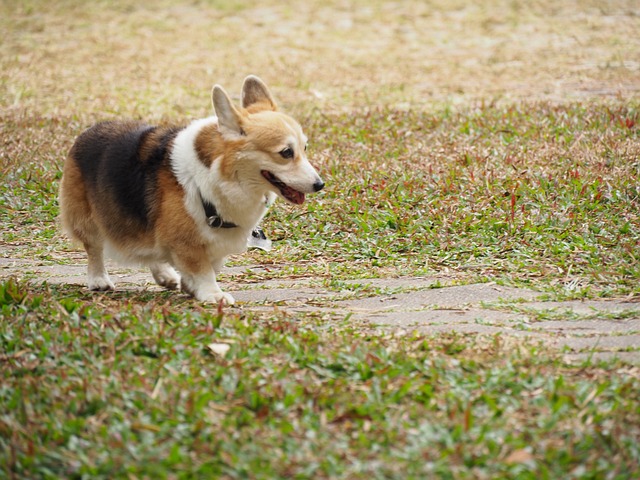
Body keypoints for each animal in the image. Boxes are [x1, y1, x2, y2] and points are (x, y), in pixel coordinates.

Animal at [60, 77, 324, 306]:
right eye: (286, 152)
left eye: (304, 148)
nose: (319, 185)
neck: (221, 175)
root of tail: (89, 131)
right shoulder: (186, 241)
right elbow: (203, 269)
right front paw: (212, 294)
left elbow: (209, 265)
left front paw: (190, 286)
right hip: (87, 218)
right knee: (95, 248)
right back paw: (99, 279)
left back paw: (165, 275)